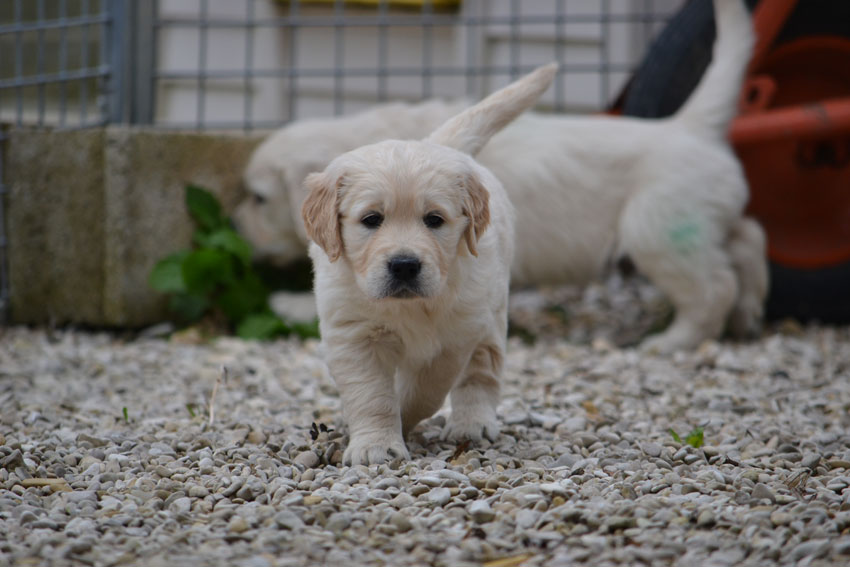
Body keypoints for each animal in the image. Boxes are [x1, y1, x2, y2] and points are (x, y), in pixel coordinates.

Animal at [304, 65, 556, 466]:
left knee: (482, 371)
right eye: (371, 219)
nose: (405, 265)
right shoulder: (353, 335)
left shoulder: (456, 337)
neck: (409, 307)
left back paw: (473, 423)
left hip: (491, 314)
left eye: (434, 220)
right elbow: (371, 395)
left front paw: (404, 419)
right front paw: (376, 444)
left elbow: (426, 389)